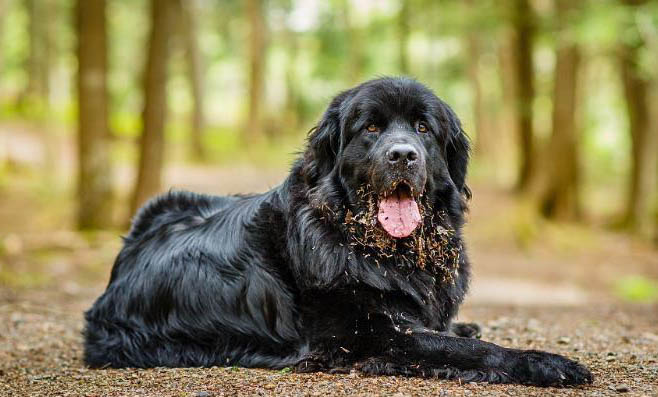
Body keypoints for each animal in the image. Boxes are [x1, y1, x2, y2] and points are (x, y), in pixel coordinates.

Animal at [82, 76, 588, 386]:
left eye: (424, 128)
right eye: (372, 128)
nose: (403, 155)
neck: (383, 251)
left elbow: (453, 333)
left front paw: (466, 325)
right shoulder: (372, 337)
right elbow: (465, 349)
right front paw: (545, 362)